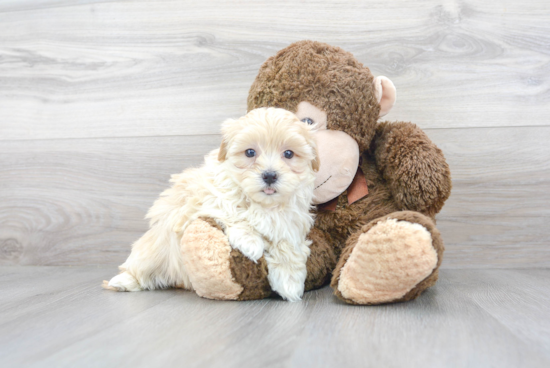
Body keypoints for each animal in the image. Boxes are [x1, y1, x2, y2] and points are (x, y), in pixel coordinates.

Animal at [104, 107, 320, 302]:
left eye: (289, 154)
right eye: (250, 152)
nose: (269, 175)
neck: (263, 204)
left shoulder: (291, 222)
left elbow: (287, 245)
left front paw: (290, 281)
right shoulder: (205, 198)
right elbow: (234, 211)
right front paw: (250, 241)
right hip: (152, 251)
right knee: (141, 268)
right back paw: (123, 281)